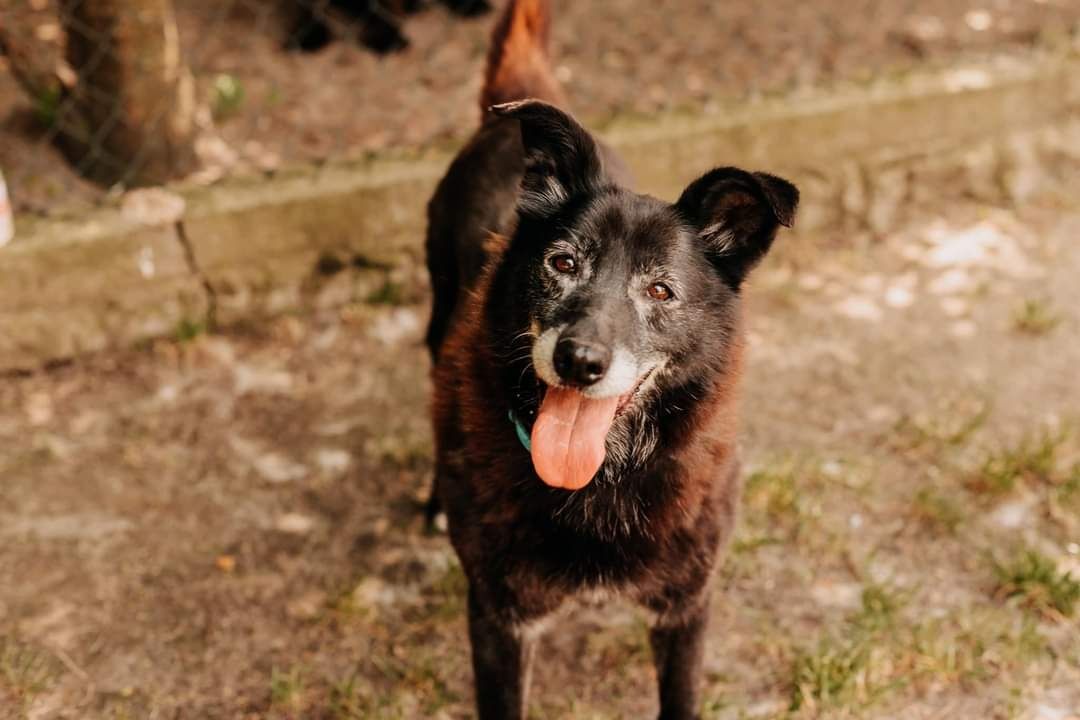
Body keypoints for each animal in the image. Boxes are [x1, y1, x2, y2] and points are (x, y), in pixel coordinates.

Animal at [425, 2, 799, 716]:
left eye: (661, 290)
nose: (579, 360)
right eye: (563, 262)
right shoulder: (498, 618)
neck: (601, 476)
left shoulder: (686, 608)